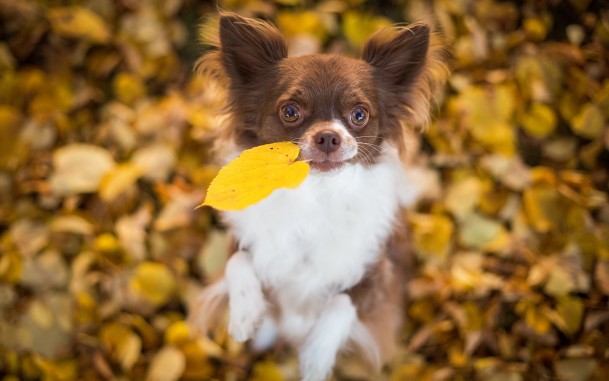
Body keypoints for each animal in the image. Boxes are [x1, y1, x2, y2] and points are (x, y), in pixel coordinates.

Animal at [191, 11, 446, 380]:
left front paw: (315, 357)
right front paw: (244, 314)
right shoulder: (245, 240)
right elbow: (236, 261)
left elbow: (343, 302)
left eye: (359, 114)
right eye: (290, 112)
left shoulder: (379, 277)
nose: (328, 136)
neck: (316, 194)